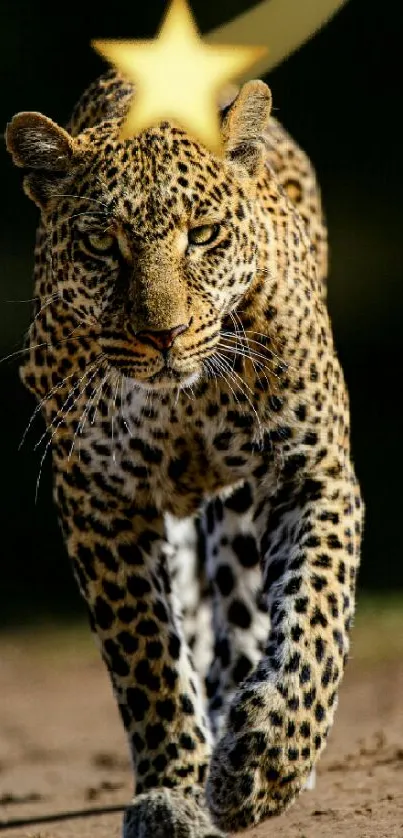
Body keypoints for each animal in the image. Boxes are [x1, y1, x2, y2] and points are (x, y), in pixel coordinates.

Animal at [6, 69, 364, 836]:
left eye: (202, 236)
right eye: (101, 244)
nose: (163, 335)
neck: (183, 400)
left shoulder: (311, 473)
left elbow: (314, 620)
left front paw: (265, 762)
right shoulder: (99, 498)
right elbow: (146, 656)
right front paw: (172, 789)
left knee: (246, 613)